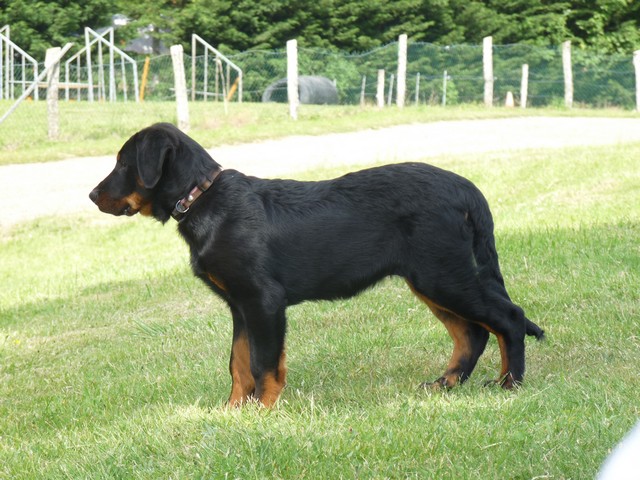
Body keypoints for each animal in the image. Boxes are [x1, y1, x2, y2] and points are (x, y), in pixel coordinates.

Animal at [89, 122, 544, 407]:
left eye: (125, 163)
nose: (92, 196)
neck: (202, 198)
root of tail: (466, 188)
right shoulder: (240, 306)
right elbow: (238, 363)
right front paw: (232, 411)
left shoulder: (263, 302)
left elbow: (264, 363)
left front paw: (262, 409)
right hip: (432, 279)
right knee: (471, 332)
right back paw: (446, 383)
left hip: (442, 273)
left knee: (507, 318)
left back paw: (509, 384)